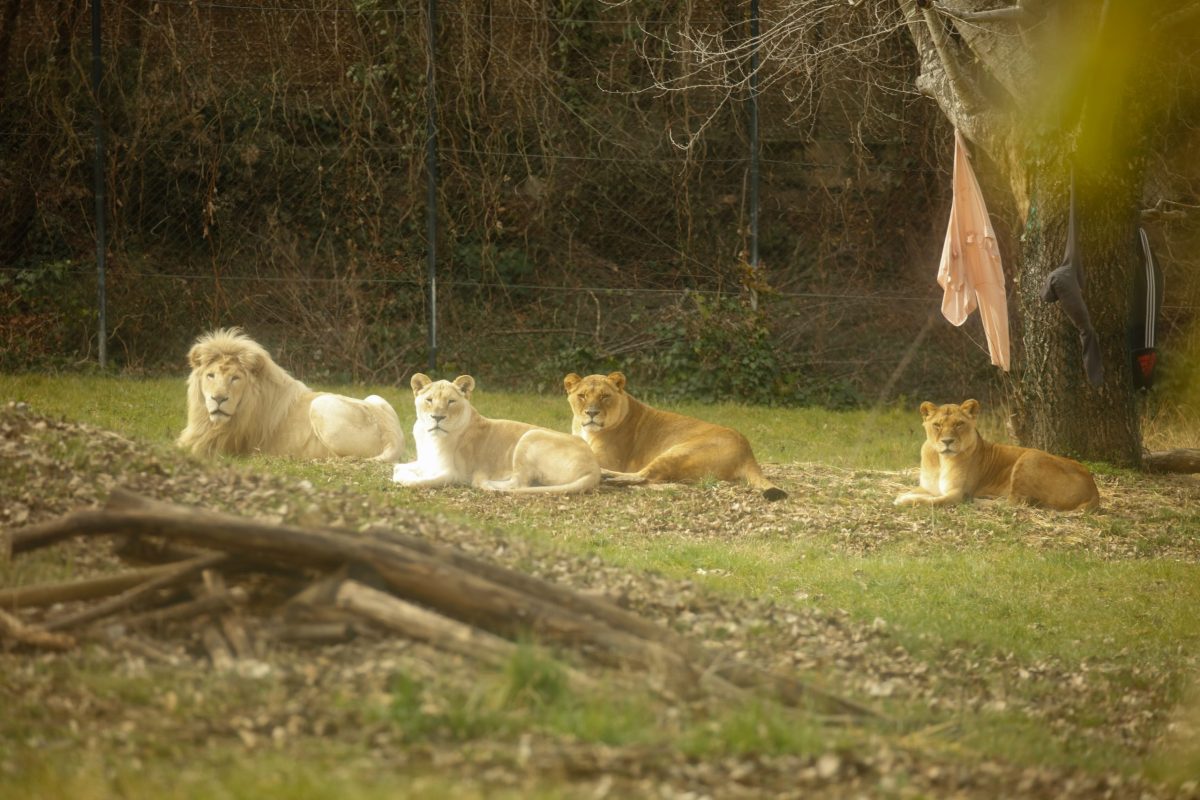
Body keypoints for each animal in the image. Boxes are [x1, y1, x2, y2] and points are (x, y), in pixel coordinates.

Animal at [177, 328, 406, 461]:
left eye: (235, 378)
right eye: (211, 375)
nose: (218, 399)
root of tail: (392, 436)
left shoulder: (217, 445)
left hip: (320, 404)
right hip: (375, 398)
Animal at [391, 374, 601, 494]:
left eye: (451, 401)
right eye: (429, 400)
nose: (437, 417)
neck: (428, 436)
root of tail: (594, 466)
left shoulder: (452, 474)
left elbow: (417, 481)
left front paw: (407, 479)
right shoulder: (426, 461)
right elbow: (398, 467)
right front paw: (402, 472)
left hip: (530, 436)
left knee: (519, 483)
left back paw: (483, 480)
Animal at [562, 372, 787, 501]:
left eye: (605, 396)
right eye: (582, 396)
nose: (591, 413)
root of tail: (748, 452)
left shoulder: (611, 459)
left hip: (679, 450)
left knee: (644, 475)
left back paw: (609, 476)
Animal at [893, 399, 1100, 511]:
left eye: (959, 424)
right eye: (937, 425)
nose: (947, 441)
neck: (940, 459)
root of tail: (1094, 489)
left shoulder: (957, 493)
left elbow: (930, 501)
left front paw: (903, 501)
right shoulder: (928, 487)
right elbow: (913, 492)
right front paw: (902, 496)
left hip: (1030, 457)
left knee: (1017, 502)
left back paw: (979, 501)